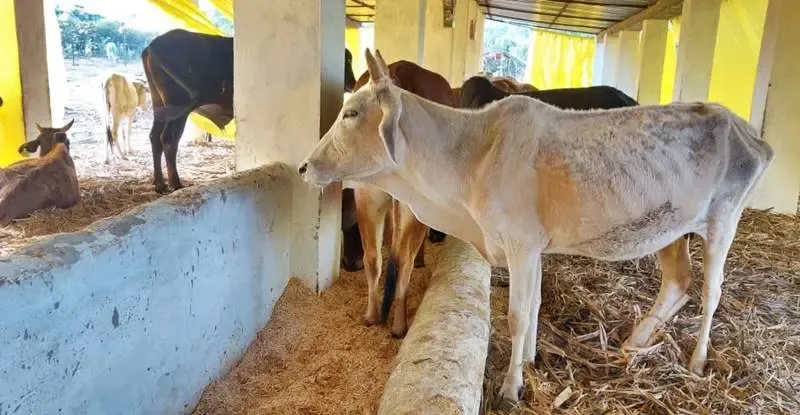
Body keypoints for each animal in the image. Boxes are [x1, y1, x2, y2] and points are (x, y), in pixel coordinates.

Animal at [141, 29, 357, 194]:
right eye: (346, 61)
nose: (353, 83)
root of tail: (154, 44)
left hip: (159, 105)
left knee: (154, 137)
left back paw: (159, 183)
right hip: (178, 107)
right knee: (169, 139)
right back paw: (175, 183)